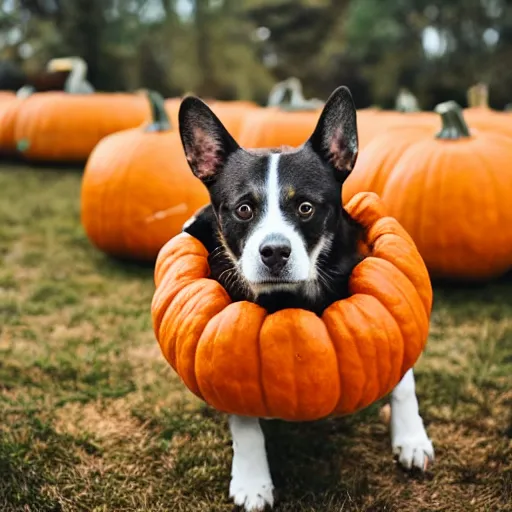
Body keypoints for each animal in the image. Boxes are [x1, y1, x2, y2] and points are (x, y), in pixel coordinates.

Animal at [178, 87, 434, 512]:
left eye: (305, 207)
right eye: (243, 209)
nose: (274, 252)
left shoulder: (389, 295)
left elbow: (403, 375)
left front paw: (412, 439)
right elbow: (242, 416)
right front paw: (253, 480)